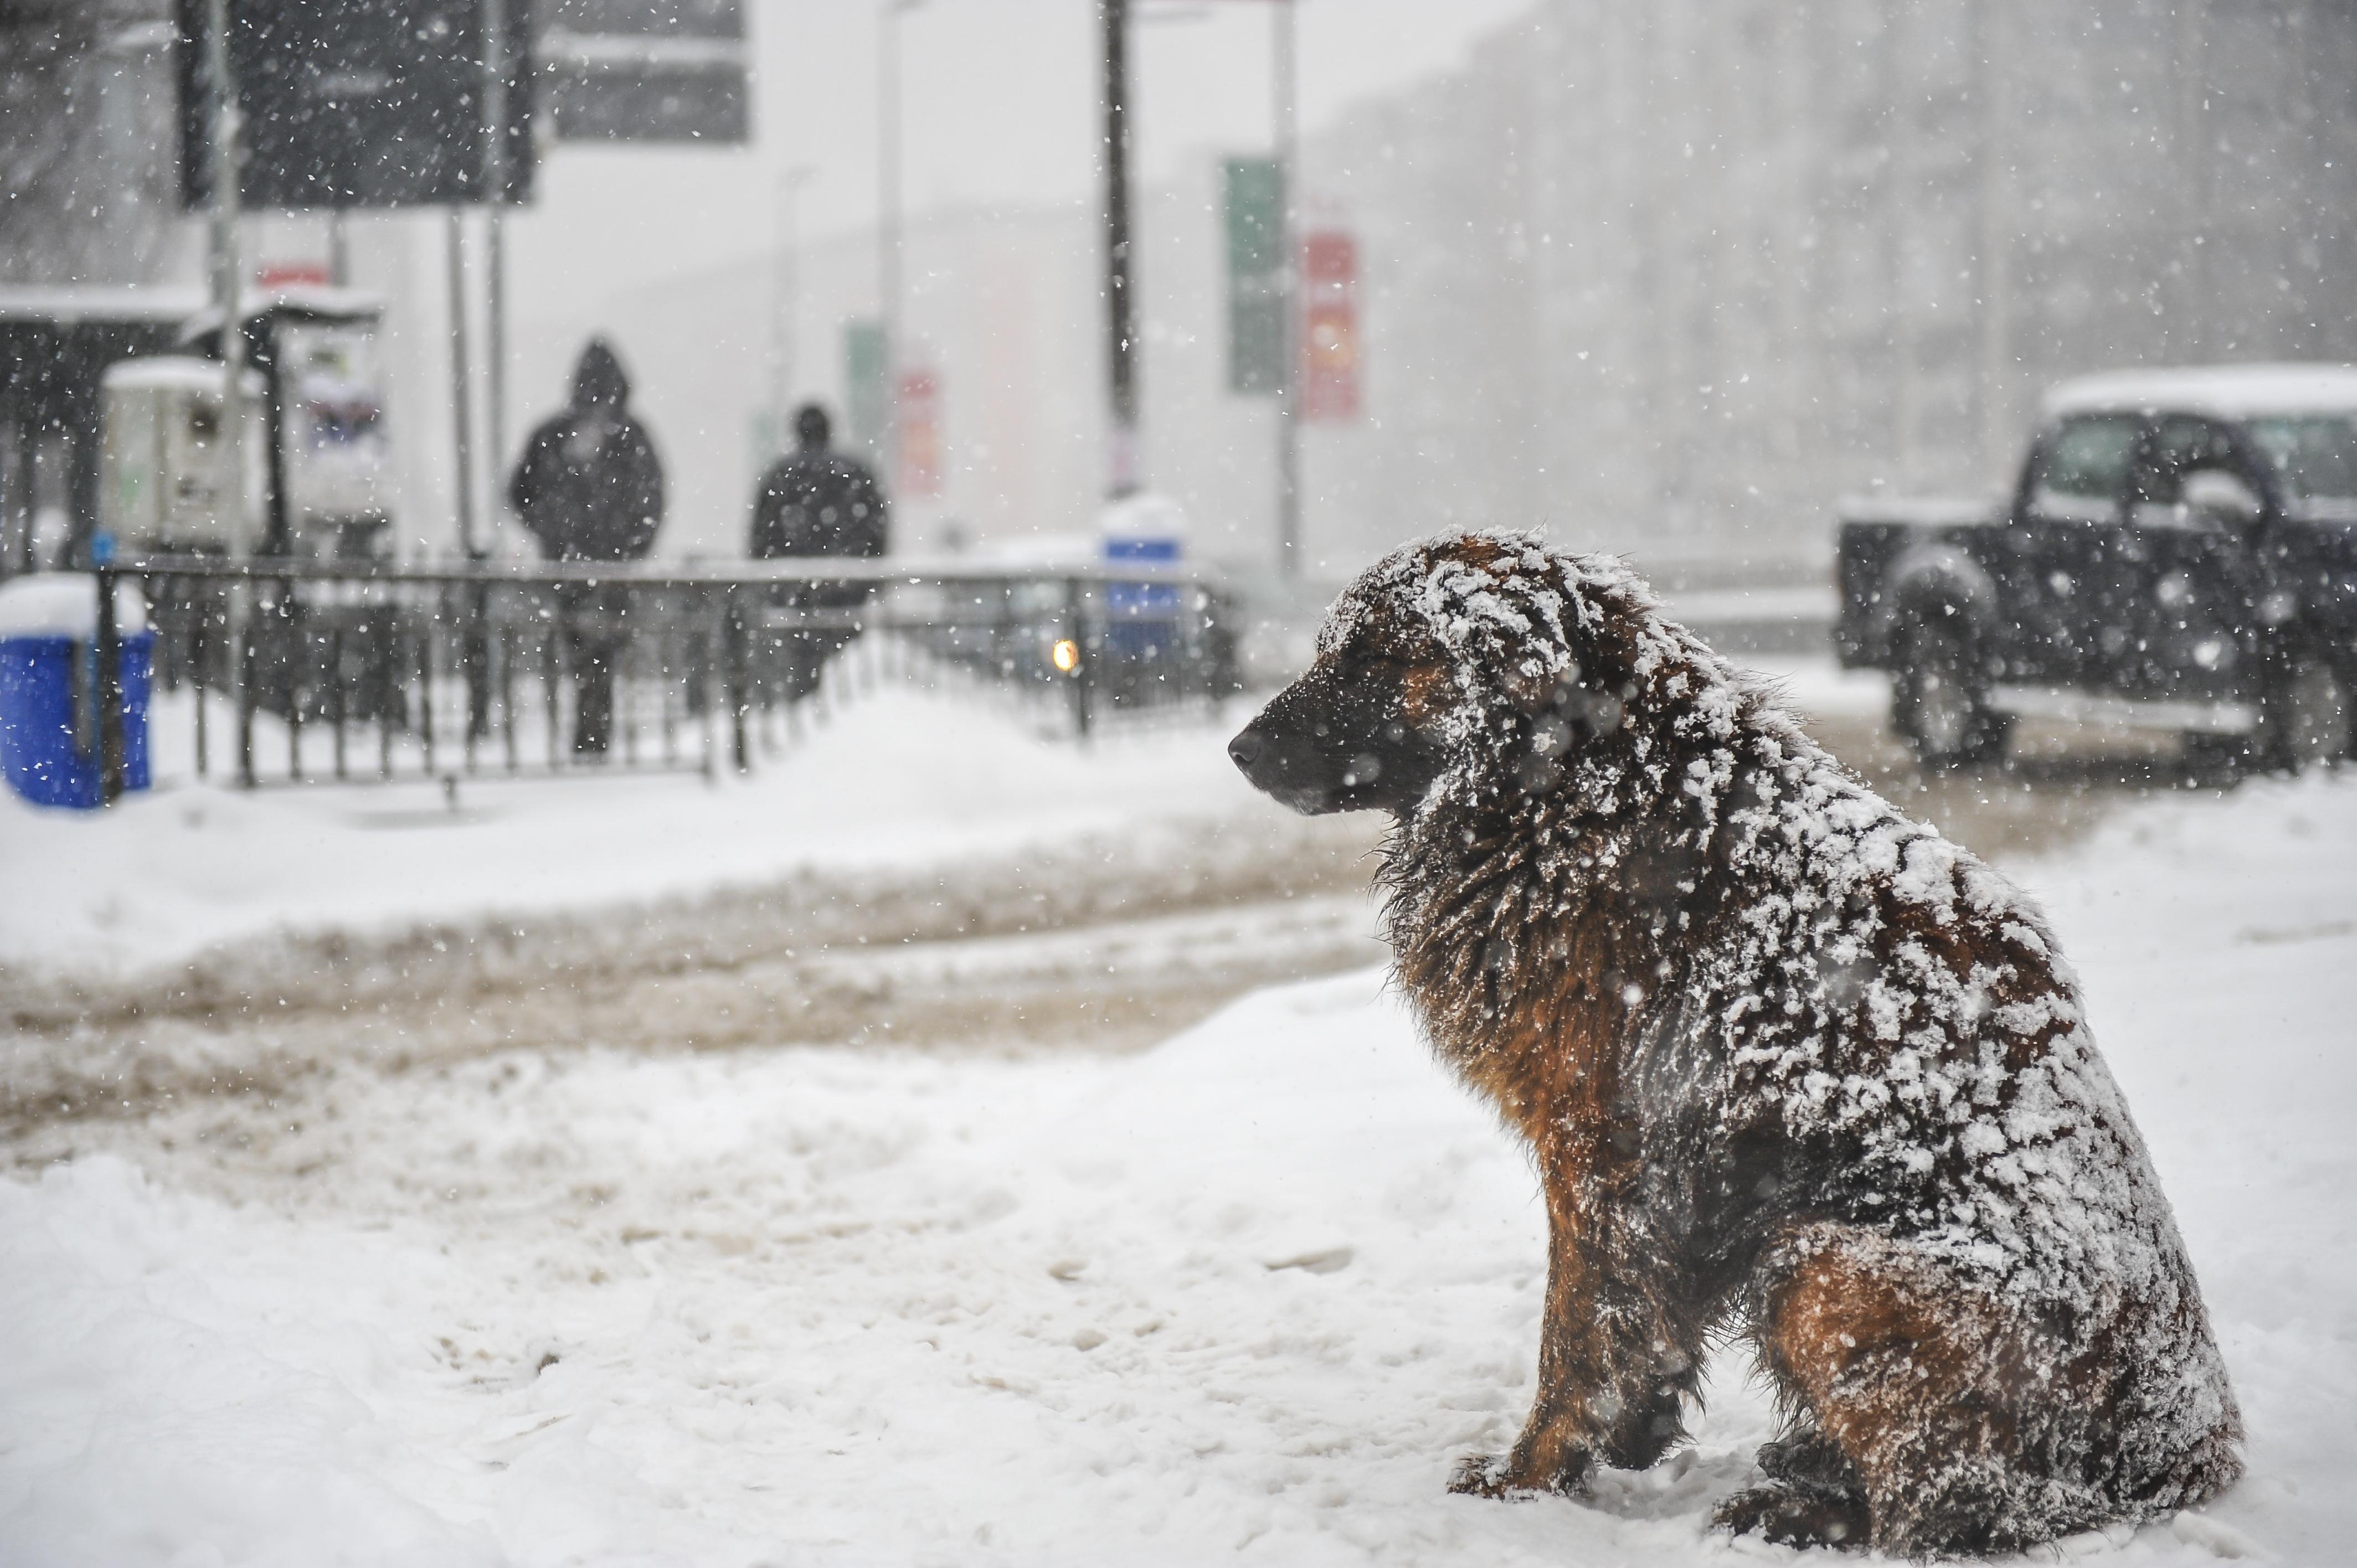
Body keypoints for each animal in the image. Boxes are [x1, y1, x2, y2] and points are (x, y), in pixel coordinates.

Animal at [1226, 528, 2234, 1556]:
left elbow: (1579, 1334)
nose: (1239, 748)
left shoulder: (1601, 1150)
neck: (1586, 783)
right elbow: (1648, 1329)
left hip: (1823, 1267)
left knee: (1960, 1505)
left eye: (1377, 659)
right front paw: (1625, 1444)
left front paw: (1531, 1480)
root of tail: (2185, 1448)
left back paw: (1807, 1509)